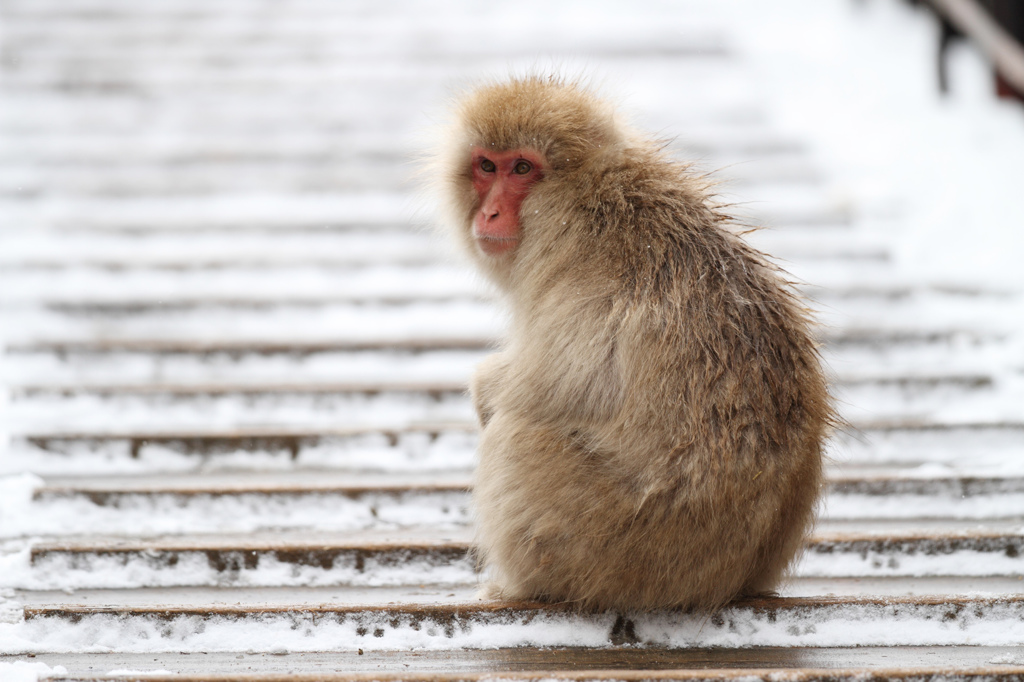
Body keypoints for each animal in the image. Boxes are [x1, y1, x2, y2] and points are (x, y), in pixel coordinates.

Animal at [432, 76, 831, 606]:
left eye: (521, 168)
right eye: (486, 166)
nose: (491, 212)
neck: (591, 195)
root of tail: (726, 582)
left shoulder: (583, 277)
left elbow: (544, 388)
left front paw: (489, 385)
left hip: (615, 545)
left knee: (514, 435)